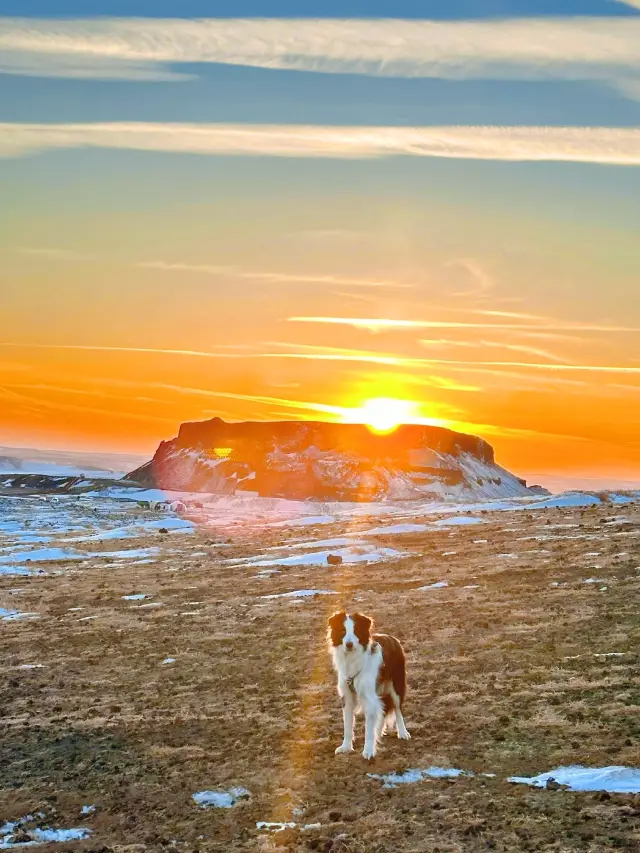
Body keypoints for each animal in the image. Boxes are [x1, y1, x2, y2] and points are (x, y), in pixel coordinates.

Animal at [328, 608, 412, 764]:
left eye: (356, 631)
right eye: (343, 631)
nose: (349, 644)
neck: (353, 659)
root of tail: (393, 638)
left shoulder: (368, 696)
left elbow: (368, 728)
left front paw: (368, 751)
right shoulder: (347, 696)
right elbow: (347, 725)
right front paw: (346, 747)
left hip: (396, 685)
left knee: (397, 709)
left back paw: (403, 732)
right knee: (382, 711)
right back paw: (379, 732)